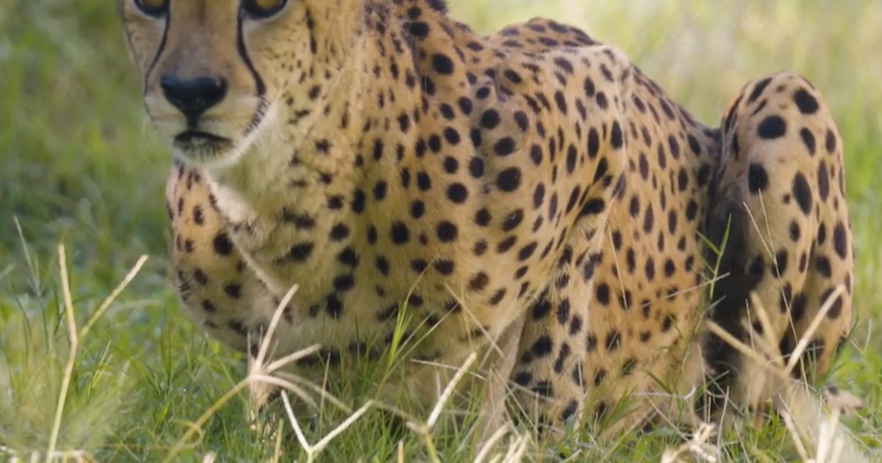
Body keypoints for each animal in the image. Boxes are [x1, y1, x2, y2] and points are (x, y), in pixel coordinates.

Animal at [116, 0, 860, 454]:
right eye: (151, 2)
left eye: (267, 4)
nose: (189, 91)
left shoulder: (598, 93)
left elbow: (549, 340)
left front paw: (535, 427)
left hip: (784, 98)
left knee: (752, 408)